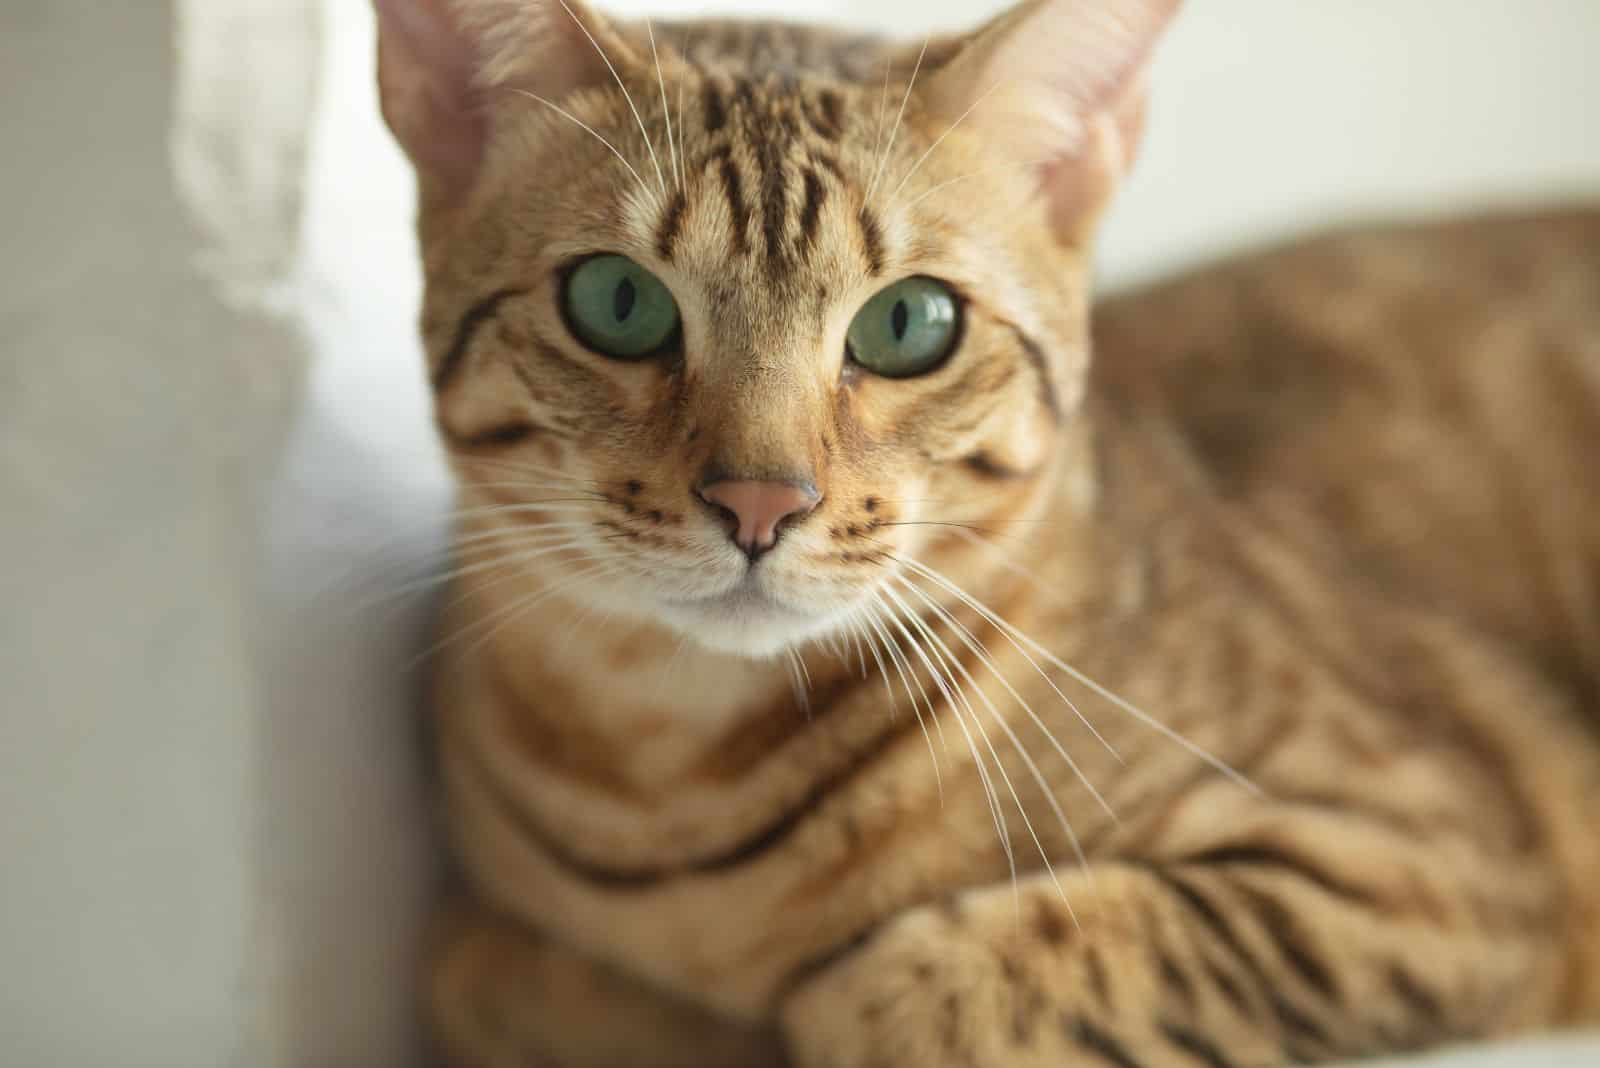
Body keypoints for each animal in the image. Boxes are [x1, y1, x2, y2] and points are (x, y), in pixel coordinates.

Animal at [371, 2, 1600, 1068]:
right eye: (617, 303)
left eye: (908, 323)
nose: (761, 502)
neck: (670, 778)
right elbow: (467, 969)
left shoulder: (1433, 861)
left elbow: (896, 993)